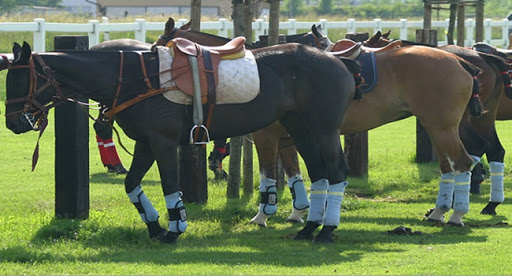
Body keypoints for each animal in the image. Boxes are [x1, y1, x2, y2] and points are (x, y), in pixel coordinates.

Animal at [4, 40, 358, 243]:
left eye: (20, 78)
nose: (13, 122)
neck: (134, 78)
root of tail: (336, 59)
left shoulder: (162, 142)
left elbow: (170, 187)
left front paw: (174, 229)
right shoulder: (146, 143)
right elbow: (132, 184)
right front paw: (155, 226)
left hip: (324, 129)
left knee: (337, 172)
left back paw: (327, 231)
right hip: (300, 128)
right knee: (320, 174)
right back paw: (309, 228)